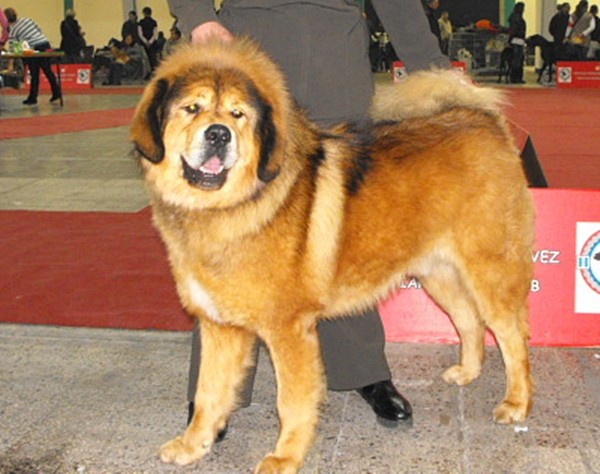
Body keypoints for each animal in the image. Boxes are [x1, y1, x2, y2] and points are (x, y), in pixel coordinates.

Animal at [131, 39, 535, 473]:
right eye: (192, 108)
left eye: (238, 115)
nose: (219, 134)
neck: (232, 206)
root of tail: (482, 119)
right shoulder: (220, 327)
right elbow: (209, 393)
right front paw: (193, 445)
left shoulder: (288, 331)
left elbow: (291, 402)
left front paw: (284, 457)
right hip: (437, 275)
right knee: (469, 321)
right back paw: (467, 372)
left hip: (490, 272)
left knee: (512, 337)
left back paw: (517, 403)